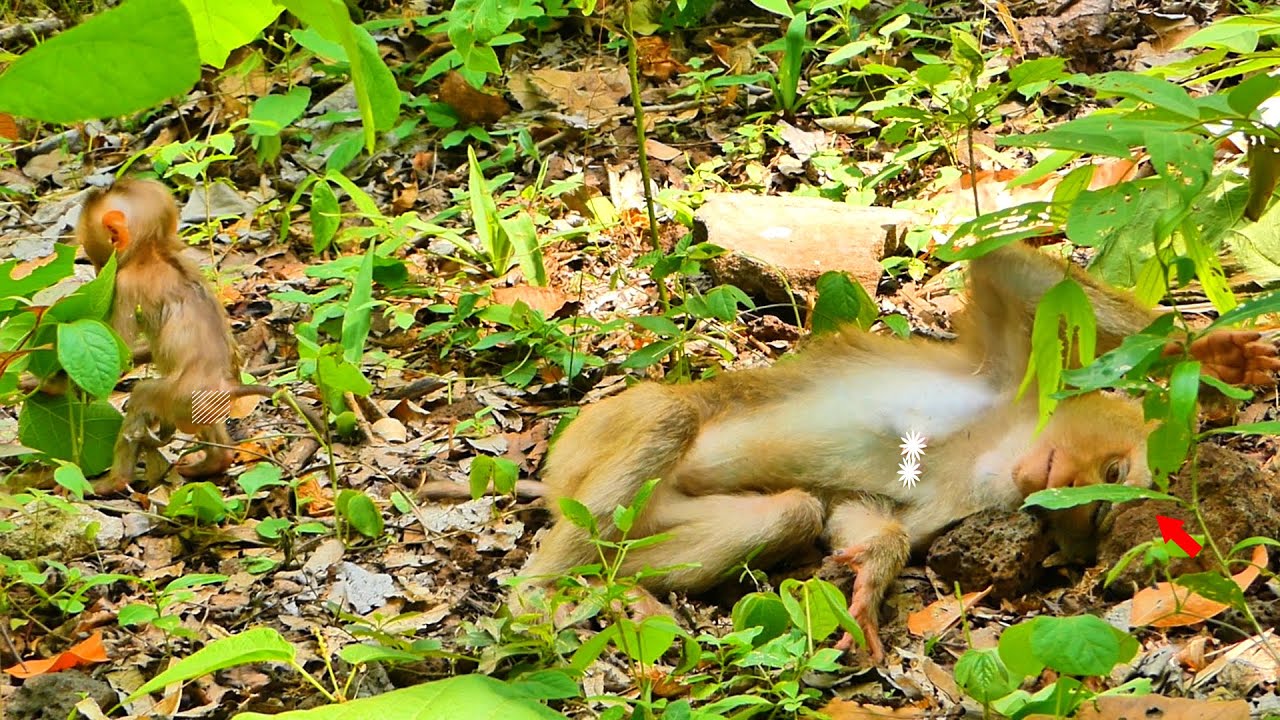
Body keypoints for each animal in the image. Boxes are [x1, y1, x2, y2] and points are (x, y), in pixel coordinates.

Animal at [75, 179, 279, 494]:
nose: (97, 272)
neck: (153, 249)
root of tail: (229, 386)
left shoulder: (125, 285)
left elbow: (120, 350)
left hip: (177, 398)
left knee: (143, 394)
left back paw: (115, 481)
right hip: (199, 405)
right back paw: (215, 461)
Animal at [518, 242, 1280, 661]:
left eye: (1092, 516)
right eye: (1115, 473)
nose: (1063, 488)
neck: (1000, 442)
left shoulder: (961, 496)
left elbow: (860, 512)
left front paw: (870, 576)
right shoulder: (1011, 375)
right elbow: (1005, 268)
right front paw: (1204, 350)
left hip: (644, 516)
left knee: (788, 512)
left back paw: (612, 590)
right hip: (593, 437)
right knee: (673, 414)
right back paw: (534, 597)